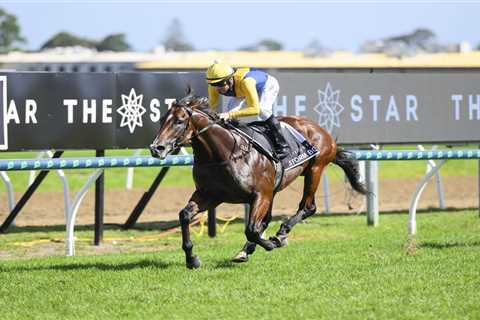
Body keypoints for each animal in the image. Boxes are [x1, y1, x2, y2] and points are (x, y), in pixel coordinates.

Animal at [150, 91, 368, 268]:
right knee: (269, 218)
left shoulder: (260, 194)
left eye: (179, 120)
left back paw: (281, 234)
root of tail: (319, 128)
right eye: (162, 120)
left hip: (315, 169)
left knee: (308, 207)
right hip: (276, 188)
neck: (223, 153)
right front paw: (192, 259)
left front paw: (270, 243)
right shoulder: (211, 195)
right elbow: (185, 215)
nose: (156, 148)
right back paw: (251, 248)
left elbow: (251, 229)